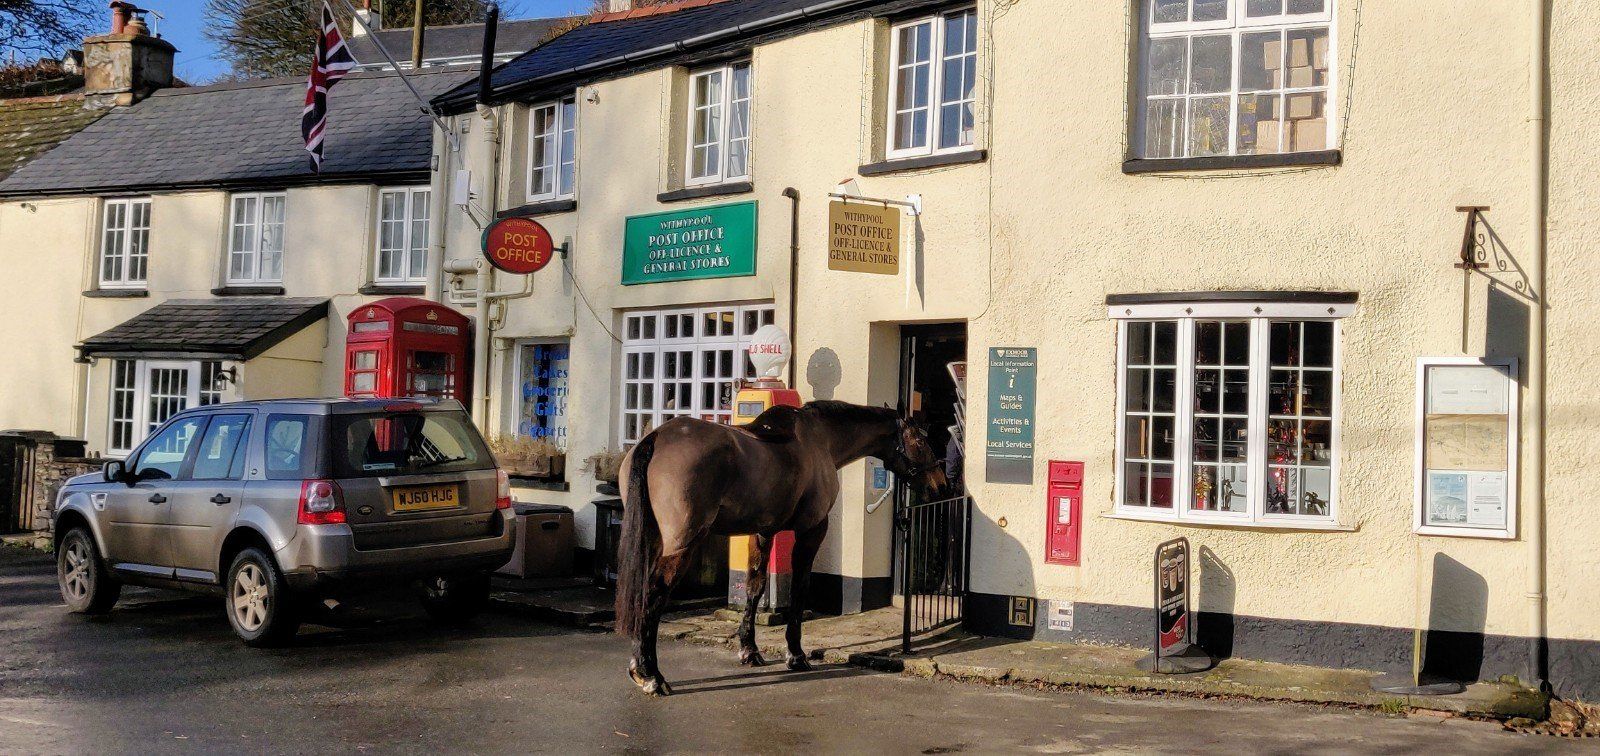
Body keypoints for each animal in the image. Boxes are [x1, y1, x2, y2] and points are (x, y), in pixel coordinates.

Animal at [614, 400, 948, 696]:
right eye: (920, 440)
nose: (940, 484)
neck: (821, 439)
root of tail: (656, 438)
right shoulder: (812, 531)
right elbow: (799, 589)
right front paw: (796, 654)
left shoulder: (763, 531)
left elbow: (755, 587)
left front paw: (749, 650)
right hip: (683, 543)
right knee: (654, 593)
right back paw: (650, 675)